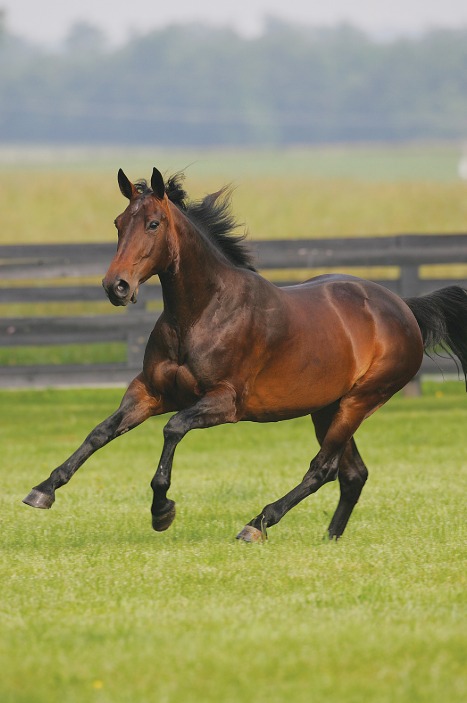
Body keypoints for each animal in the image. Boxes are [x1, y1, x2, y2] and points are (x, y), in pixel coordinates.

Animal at [23, 167, 467, 542]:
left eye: (153, 223)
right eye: (118, 223)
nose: (115, 286)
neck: (202, 313)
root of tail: (404, 307)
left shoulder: (224, 402)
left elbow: (173, 429)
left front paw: (161, 510)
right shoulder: (150, 391)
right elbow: (101, 431)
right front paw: (43, 490)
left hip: (360, 401)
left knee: (322, 468)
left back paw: (257, 524)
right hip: (327, 406)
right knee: (353, 473)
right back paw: (329, 538)